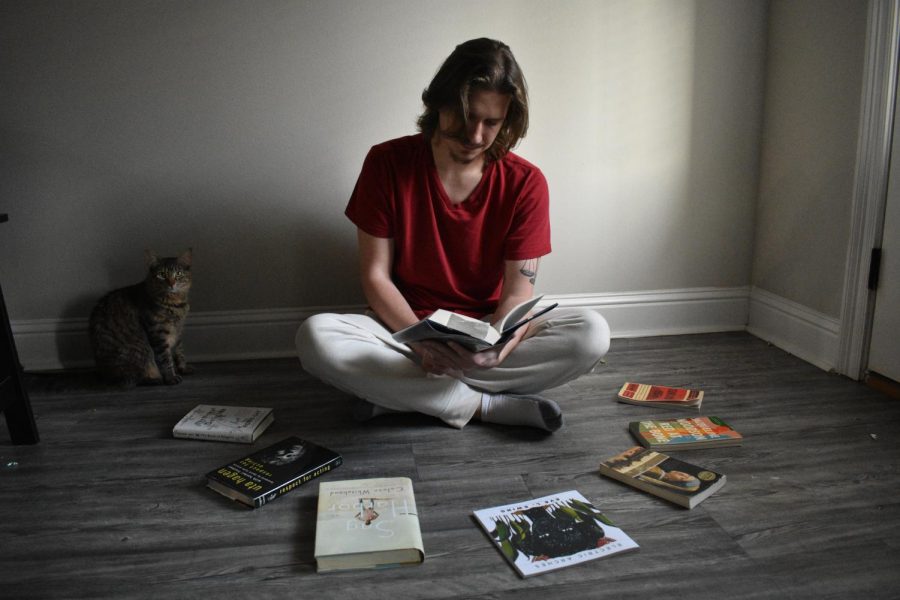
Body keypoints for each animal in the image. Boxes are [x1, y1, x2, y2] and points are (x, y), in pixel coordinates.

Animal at [90, 247, 193, 384]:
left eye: (178, 274)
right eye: (162, 274)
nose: (171, 284)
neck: (175, 304)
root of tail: (106, 375)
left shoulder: (178, 331)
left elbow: (179, 351)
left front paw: (183, 368)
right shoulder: (158, 333)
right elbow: (165, 359)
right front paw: (171, 377)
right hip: (140, 351)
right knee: (137, 378)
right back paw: (155, 379)